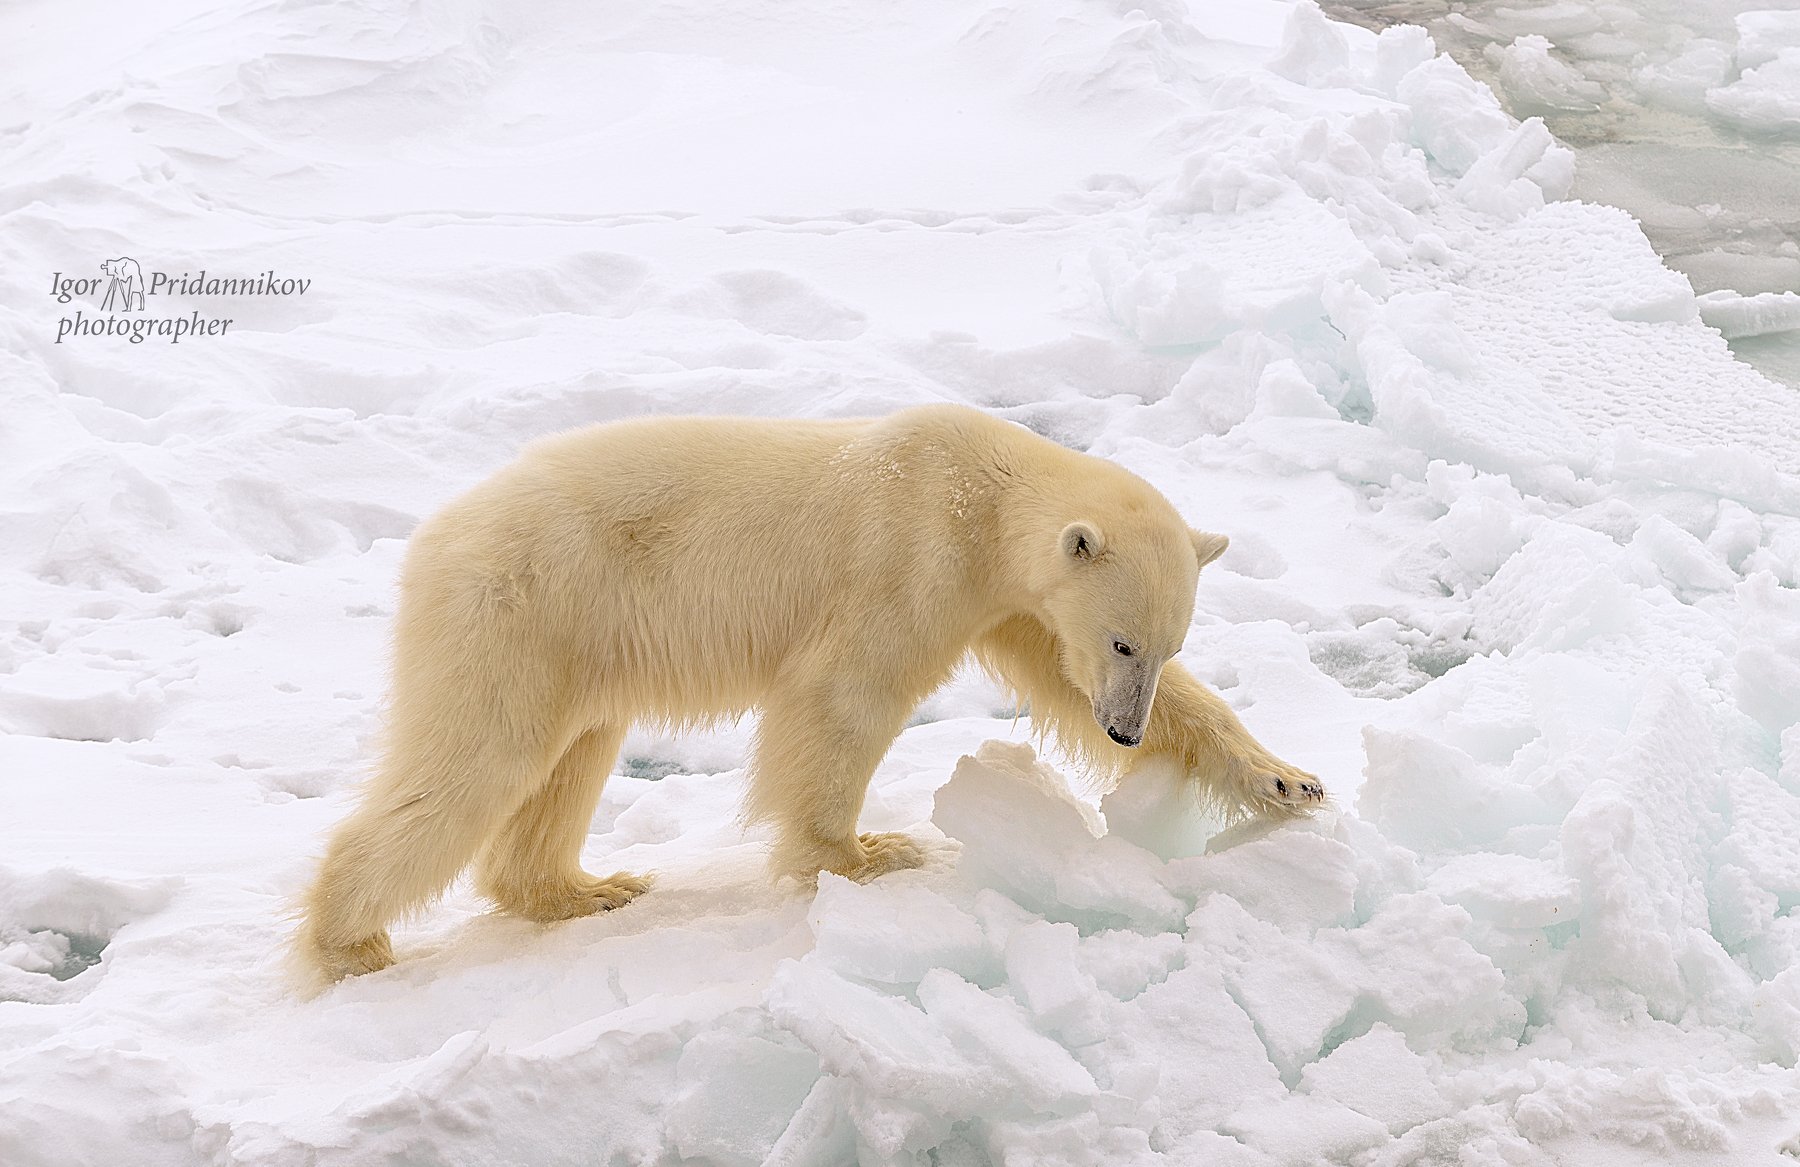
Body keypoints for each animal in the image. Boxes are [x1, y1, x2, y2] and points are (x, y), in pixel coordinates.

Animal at [298, 405, 1324, 979]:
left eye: (1165, 643)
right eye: (1121, 638)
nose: (1123, 732)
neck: (981, 491)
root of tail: (436, 540)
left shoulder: (1011, 601)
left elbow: (1071, 681)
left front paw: (1290, 782)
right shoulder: (916, 555)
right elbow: (845, 697)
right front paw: (870, 852)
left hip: (574, 641)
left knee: (567, 759)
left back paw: (587, 888)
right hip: (521, 612)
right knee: (479, 759)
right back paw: (351, 943)